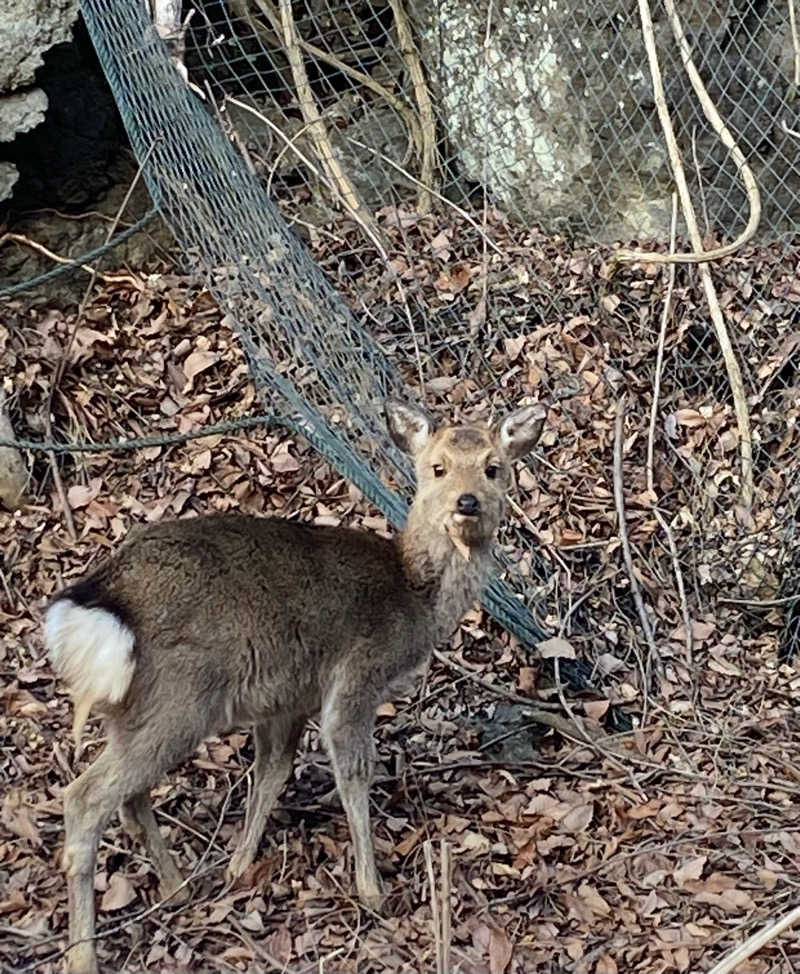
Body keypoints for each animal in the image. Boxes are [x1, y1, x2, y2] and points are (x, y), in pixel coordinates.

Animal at [42, 396, 544, 974]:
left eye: (493, 467)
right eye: (436, 467)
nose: (466, 503)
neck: (414, 597)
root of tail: (103, 601)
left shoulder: (288, 697)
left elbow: (273, 771)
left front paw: (238, 864)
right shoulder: (355, 674)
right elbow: (352, 773)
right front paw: (372, 890)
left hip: (134, 711)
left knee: (130, 795)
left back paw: (176, 889)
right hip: (179, 699)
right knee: (85, 798)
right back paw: (84, 955)